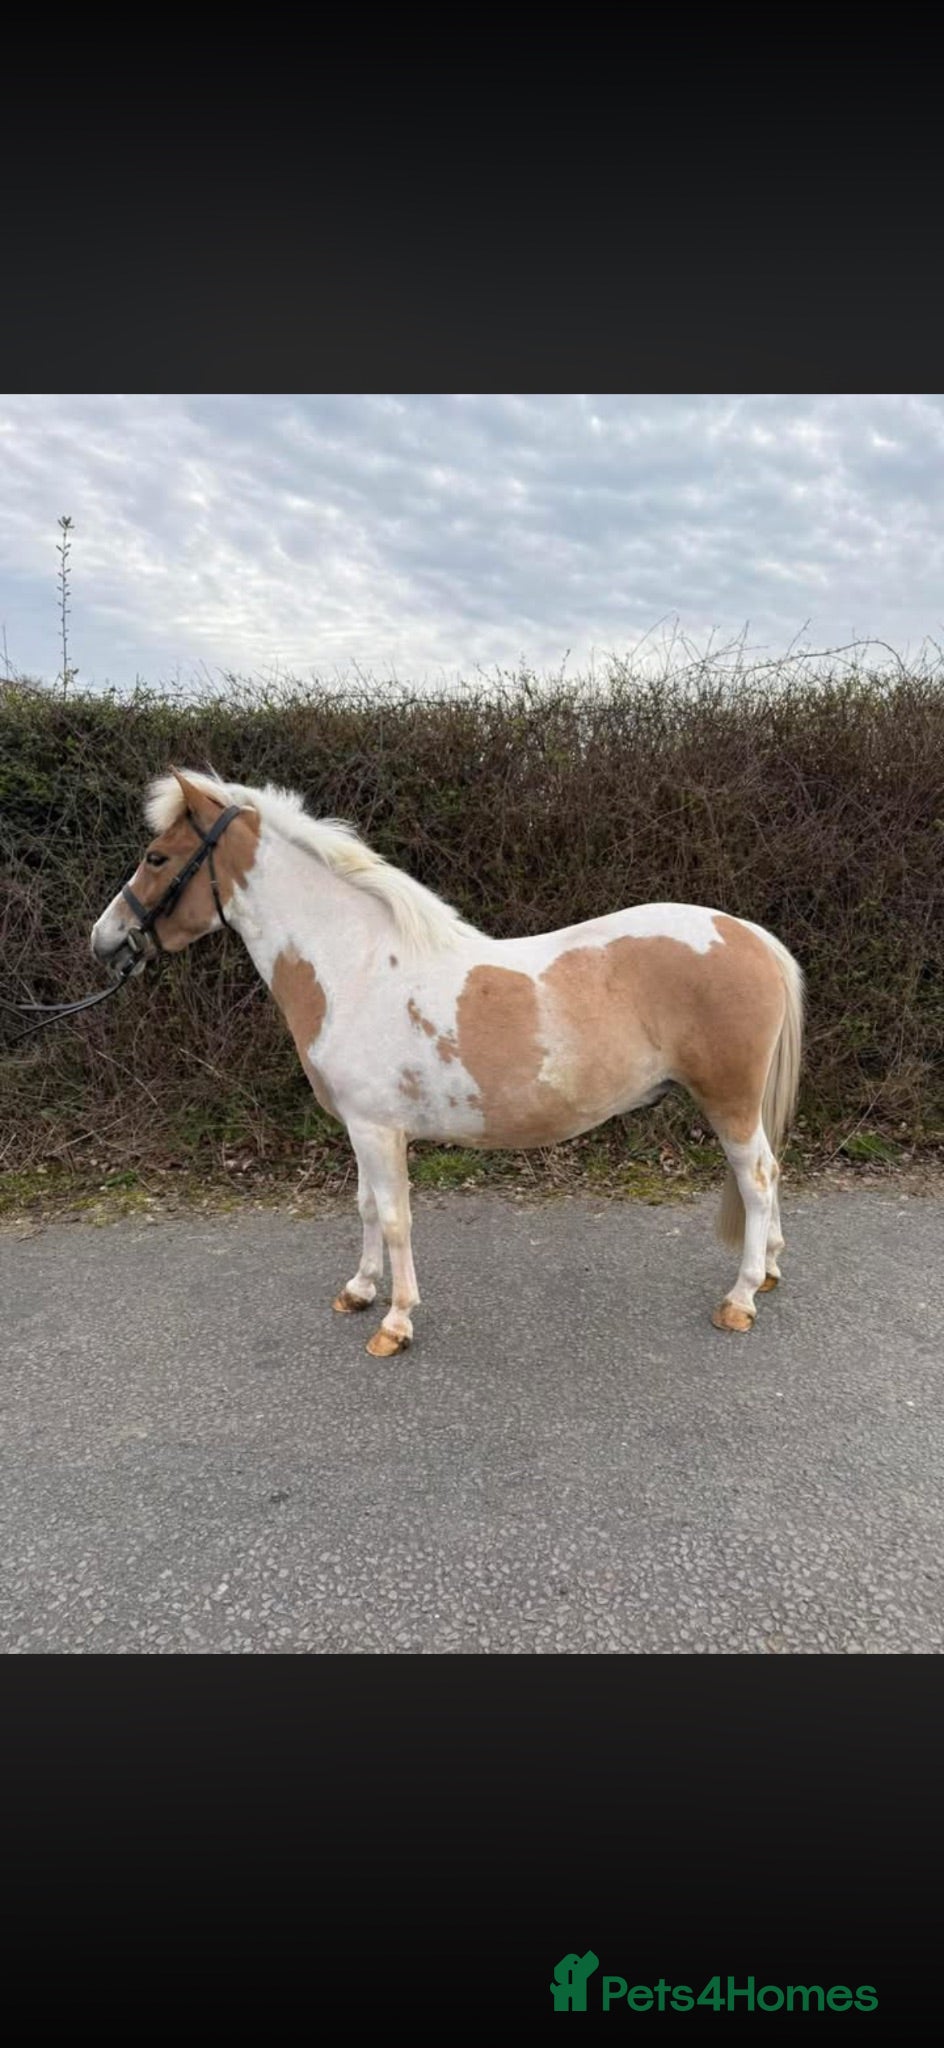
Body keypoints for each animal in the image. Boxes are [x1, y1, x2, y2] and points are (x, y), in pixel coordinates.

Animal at [90, 768, 804, 1358]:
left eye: (157, 857)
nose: (105, 940)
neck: (354, 967)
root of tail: (747, 934)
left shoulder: (379, 1131)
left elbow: (395, 1217)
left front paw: (395, 1322)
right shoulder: (361, 1129)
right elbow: (366, 1207)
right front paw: (359, 1291)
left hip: (729, 1100)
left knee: (756, 1178)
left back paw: (740, 1299)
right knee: (769, 1173)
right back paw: (768, 1271)